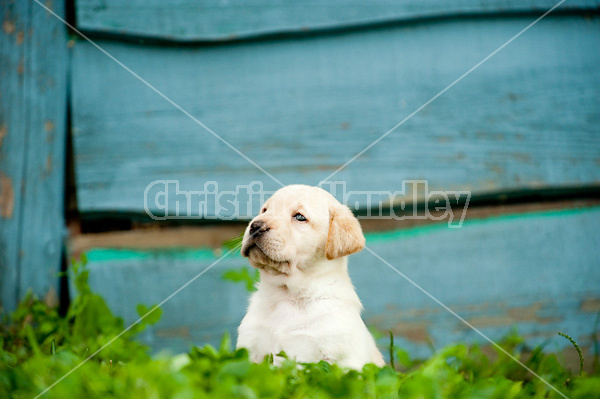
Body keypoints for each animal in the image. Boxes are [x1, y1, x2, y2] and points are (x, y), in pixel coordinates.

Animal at [237, 186, 382, 370]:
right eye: (264, 210)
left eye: (299, 217)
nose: (255, 226)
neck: (287, 295)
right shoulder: (250, 349)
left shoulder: (343, 359)